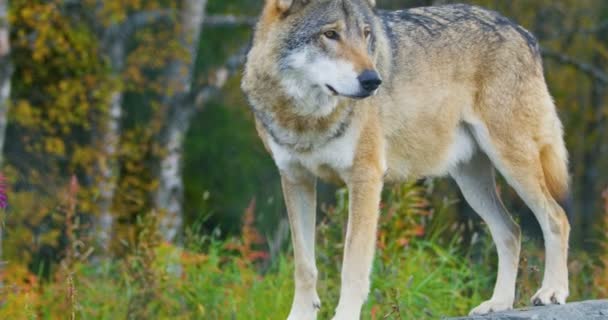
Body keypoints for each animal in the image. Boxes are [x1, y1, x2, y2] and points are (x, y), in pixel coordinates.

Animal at [241, 1, 568, 318]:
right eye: (330, 34)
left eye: (366, 34)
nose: (373, 80)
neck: (307, 119)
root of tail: (522, 32)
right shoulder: (296, 180)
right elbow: (305, 267)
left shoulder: (365, 178)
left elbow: (352, 265)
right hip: (471, 182)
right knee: (511, 231)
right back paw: (498, 303)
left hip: (511, 163)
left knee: (556, 218)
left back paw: (552, 292)